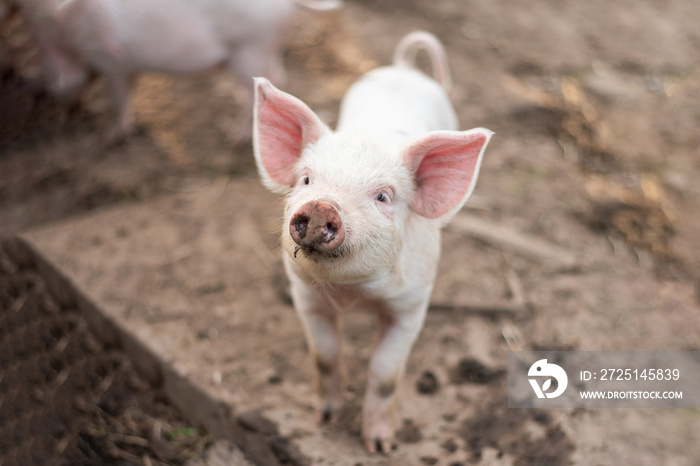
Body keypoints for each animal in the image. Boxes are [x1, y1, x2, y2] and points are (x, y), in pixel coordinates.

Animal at [15, 0, 344, 144]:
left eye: (49, 69)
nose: (48, 95)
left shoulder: (112, 64)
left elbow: (119, 101)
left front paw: (111, 137)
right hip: (263, 51)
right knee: (277, 80)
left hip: (249, 50)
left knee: (253, 96)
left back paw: (232, 136)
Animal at [253, 31, 492, 454]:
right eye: (306, 179)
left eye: (383, 196)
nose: (321, 206)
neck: (353, 296)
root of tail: (403, 67)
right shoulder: (304, 294)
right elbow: (324, 355)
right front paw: (324, 419)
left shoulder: (412, 306)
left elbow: (384, 374)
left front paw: (380, 447)